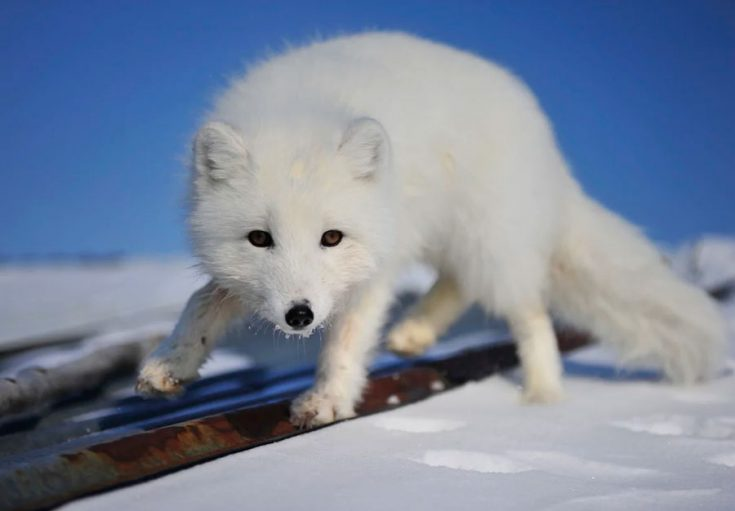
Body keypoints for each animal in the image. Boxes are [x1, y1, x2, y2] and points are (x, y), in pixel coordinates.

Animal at [137, 30, 724, 426]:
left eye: (332, 237)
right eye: (260, 238)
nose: (299, 316)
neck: (299, 113)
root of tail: (543, 137)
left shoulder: (374, 268)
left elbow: (347, 341)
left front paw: (329, 399)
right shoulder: (243, 277)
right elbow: (202, 302)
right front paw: (170, 364)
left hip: (490, 241)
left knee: (530, 313)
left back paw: (540, 400)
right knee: (461, 283)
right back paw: (415, 332)